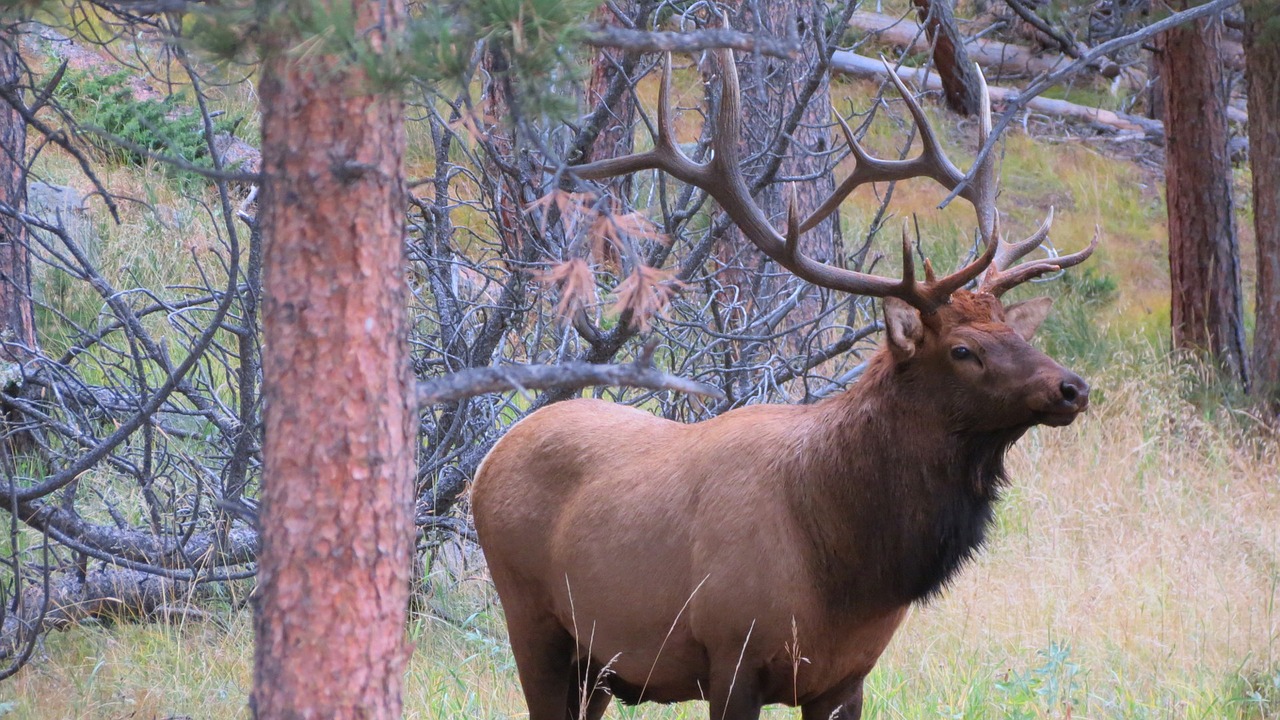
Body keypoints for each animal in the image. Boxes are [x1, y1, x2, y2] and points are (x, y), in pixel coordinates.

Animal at [476, 50, 1095, 717]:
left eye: (1014, 332)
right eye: (963, 350)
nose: (1072, 387)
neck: (848, 573)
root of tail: (486, 462)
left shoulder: (846, 676)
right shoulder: (731, 653)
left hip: (598, 663)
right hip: (531, 617)